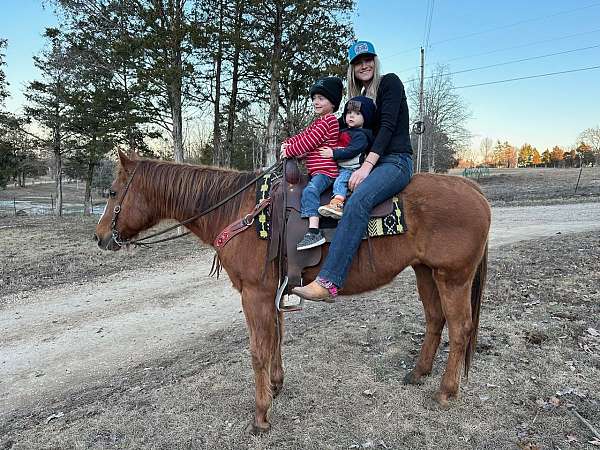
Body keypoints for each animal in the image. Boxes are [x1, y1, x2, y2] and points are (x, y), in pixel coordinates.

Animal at [96, 150, 492, 432]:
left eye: (113, 192)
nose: (100, 238)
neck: (240, 211)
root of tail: (474, 189)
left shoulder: (254, 294)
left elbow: (258, 350)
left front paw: (261, 416)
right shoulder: (271, 292)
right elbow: (276, 338)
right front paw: (276, 385)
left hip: (453, 278)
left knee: (460, 330)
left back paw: (445, 392)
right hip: (426, 273)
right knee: (435, 320)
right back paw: (418, 373)